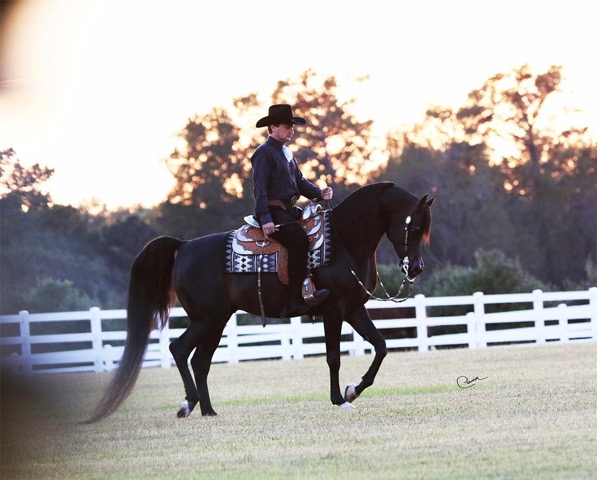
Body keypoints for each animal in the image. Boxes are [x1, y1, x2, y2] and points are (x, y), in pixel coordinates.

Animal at [86, 182, 430, 422]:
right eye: (413, 227)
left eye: (424, 230)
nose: (415, 268)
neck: (344, 242)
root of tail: (182, 247)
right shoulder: (334, 311)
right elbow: (334, 357)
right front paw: (340, 399)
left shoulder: (355, 309)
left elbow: (381, 346)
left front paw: (353, 390)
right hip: (206, 319)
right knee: (179, 350)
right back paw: (188, 404)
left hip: (217, 320)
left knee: (200, 360)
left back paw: (207, 410)